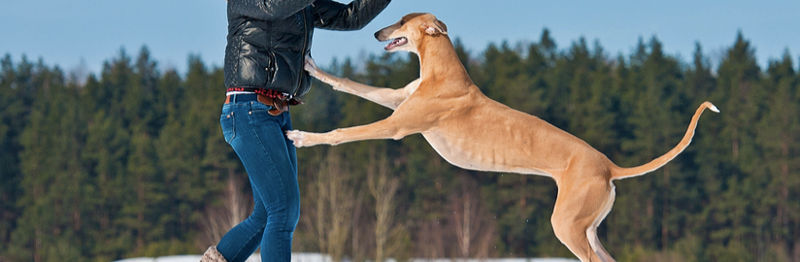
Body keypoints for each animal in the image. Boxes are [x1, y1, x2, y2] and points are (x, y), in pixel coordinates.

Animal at [286, 12, 720, 262]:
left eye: (402, 20)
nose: (376, 32)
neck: (443, 72)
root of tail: (609, 166)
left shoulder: (397, 125)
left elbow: (343, 133)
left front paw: (303, 137)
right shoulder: (397, 100)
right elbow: (349, 84)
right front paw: (313, 67)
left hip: (567, 224)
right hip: (588, 227)